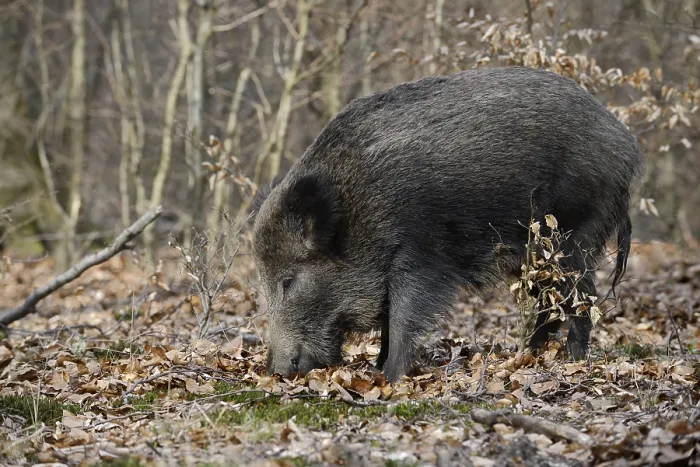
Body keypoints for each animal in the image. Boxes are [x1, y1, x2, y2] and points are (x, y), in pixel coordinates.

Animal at [252, 66, 644, 382]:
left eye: (289, 280)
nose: (276, 370)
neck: (359, 211)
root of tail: (628, 148)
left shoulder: (421, 256)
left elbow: (402, 318)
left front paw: (389, 377)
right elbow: (388, 321)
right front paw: (378, 369)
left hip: (572, 235)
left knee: (580, 296)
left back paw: (574, 360)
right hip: (538, 253)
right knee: (550, 303)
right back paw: (529, 355)